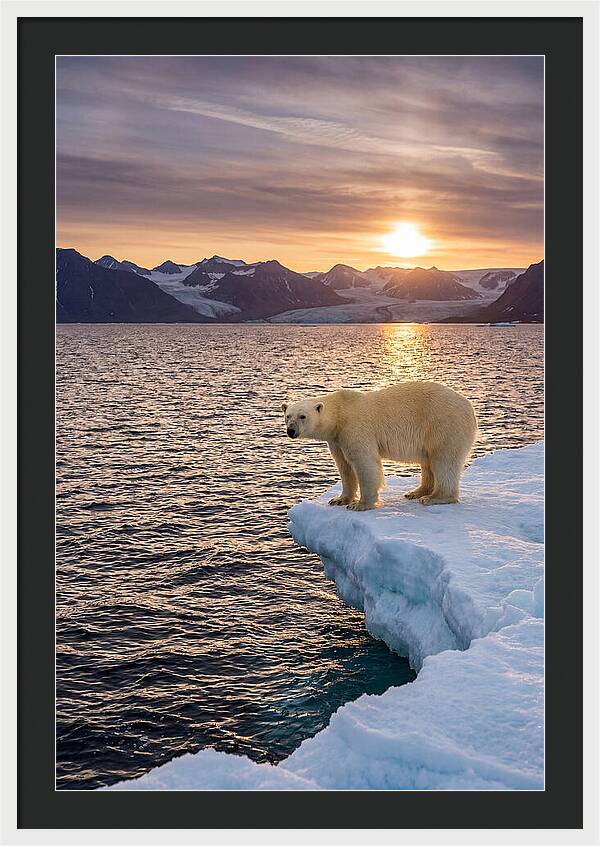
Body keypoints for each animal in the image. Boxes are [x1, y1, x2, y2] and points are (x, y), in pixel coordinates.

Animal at [282, 381, 477, 511]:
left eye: (302, 416)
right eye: (288, 415)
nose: (291, 431)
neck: (340, 413)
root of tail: (469, 407)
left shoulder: (355, 428)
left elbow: (364, 463)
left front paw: (360, 504)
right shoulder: (336, 439)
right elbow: (344, 466)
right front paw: (339, 499)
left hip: (443, 424)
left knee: (444, 460)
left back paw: (434, 497)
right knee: (428, 462)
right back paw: (416, 492)